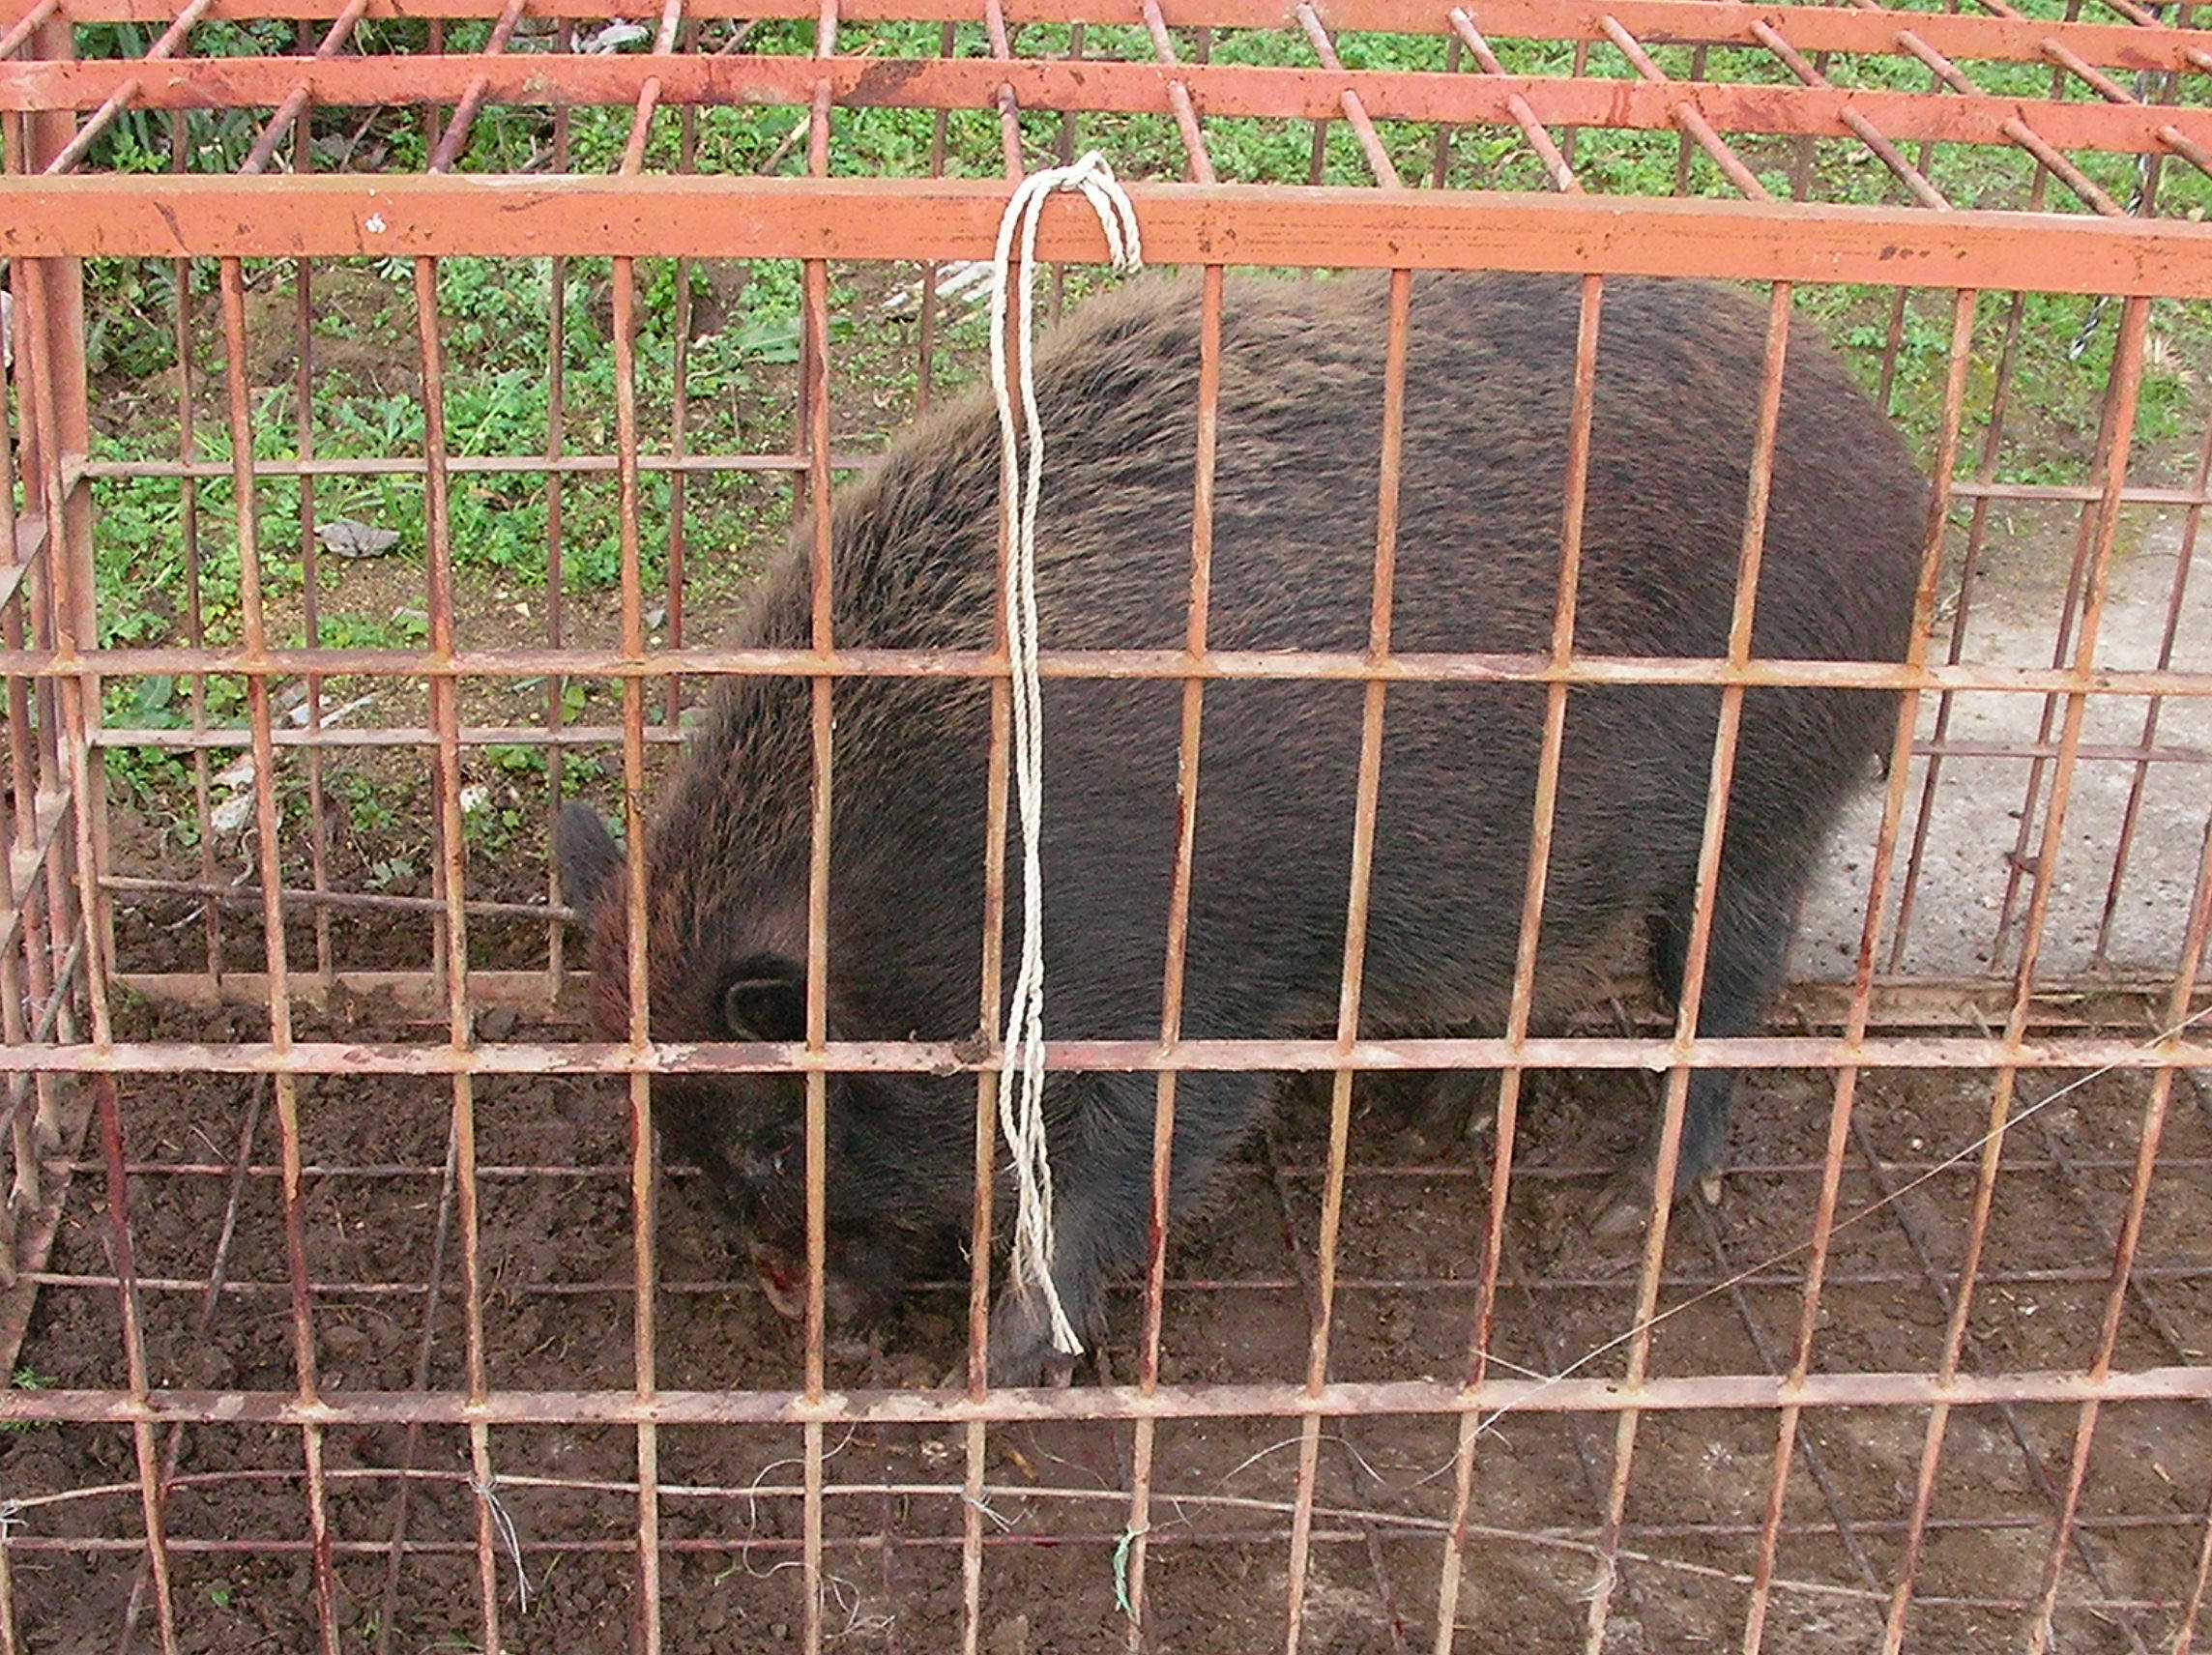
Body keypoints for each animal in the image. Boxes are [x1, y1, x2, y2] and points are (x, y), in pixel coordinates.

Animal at [557, 269, 1926, 1385]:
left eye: (775, 1143)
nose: (807, 1312)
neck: (931, 857)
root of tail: (1894, 464)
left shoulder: (1186, 989)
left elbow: (1120, 1173)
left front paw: (983, 1374)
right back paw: (1429, 1121)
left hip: (1768, 795)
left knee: (1725, 983)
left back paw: (1623, 1207)